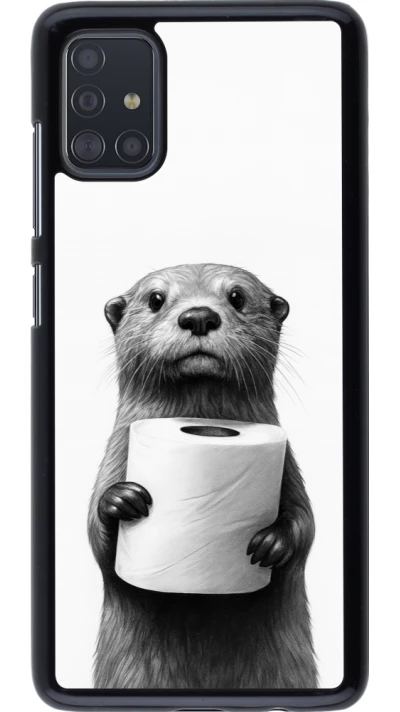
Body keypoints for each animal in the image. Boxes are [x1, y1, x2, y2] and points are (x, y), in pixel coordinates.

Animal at [88, 263, 317, 689]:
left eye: (237, 297)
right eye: (156, 299)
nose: (198, 316)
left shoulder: (289, 467)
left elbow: (306, 524)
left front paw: (272, 543)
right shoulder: (114, 457)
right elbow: (96, 539)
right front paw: (120, 500)